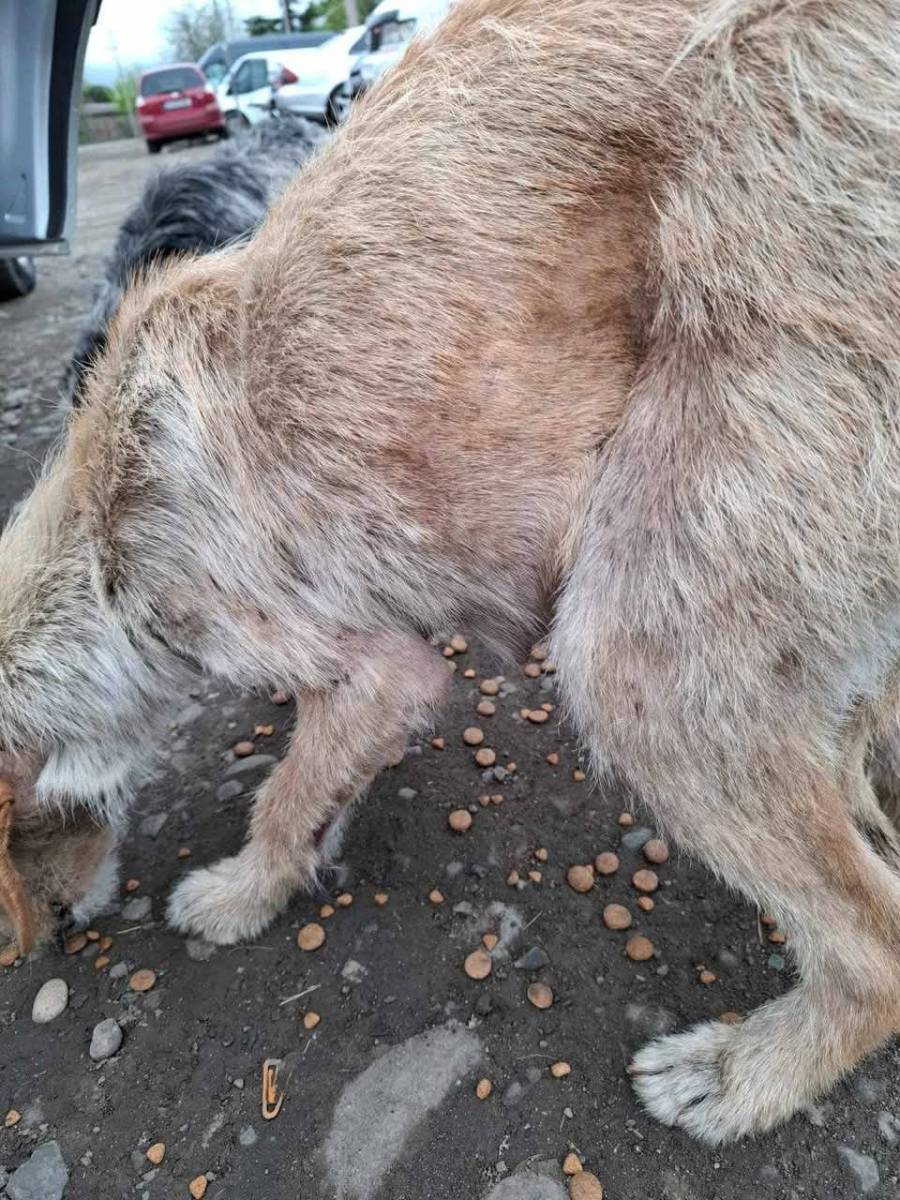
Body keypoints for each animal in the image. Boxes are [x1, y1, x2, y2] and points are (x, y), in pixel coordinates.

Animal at [2, 0, 899, 1146]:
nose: (46, 942)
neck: (103, 523)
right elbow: (316, 777)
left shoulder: (376, 667)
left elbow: (283, 792)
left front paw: (241, 894)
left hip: (642, 661)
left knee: (876, 948)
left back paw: (744, 1075)